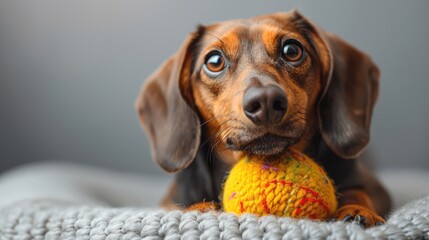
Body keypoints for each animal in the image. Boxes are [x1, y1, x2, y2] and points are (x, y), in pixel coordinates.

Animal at [135, 11, 390, 228]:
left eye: (291, 50)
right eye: (214, 61)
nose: (265, 101)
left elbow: (359, 191)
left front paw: (357, 210)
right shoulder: (169, 200)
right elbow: (181, 207)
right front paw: (199, 208)